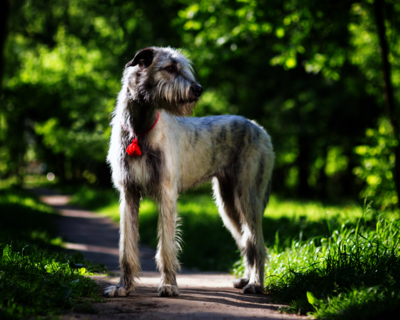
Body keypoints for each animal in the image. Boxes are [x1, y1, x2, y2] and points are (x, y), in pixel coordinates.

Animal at [104, 47, 274, 298]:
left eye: (183, 68)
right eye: (170, 68)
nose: (198, 89)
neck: (139, 129)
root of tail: (260, 128)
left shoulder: (166, 193)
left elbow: (166, 246)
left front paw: (168, 285)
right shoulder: (128, 193)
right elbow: (126, 247)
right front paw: (122, 287)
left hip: (248, 196)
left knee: (257, 244)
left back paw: (256, 283)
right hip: (228, 204)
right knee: (247, 243)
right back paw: (246, 278)